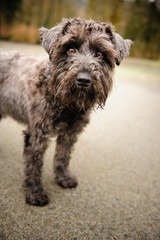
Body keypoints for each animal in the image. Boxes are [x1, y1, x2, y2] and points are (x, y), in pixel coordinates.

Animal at [0, 17, 132, 206]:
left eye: (100, 54)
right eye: (70, 49)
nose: (84, 80)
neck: (67, 104)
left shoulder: (70, 133)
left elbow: (62, 156)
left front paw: (63, 178)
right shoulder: (37, 135)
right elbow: (33, 164)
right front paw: (35, 194)